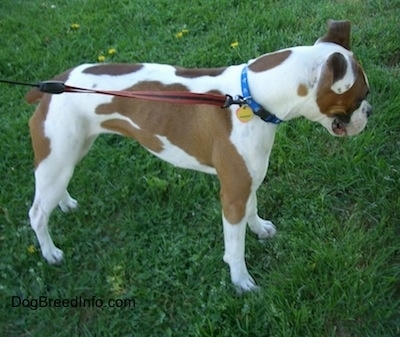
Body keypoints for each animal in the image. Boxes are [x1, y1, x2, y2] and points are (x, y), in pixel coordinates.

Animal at [26, 19, 372, 290]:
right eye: (361, 96)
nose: (369, 111)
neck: (251, 96)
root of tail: (56, 82)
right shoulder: (232, 195)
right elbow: (235, 246)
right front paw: (241, 281)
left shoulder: (246, 182)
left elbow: (252, 209)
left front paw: (260, 229)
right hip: (57, 158)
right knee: (37, 212)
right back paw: (50, 252)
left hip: (67, 154)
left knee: (53, 190)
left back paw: (65, 203)